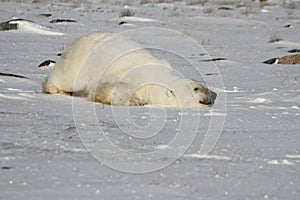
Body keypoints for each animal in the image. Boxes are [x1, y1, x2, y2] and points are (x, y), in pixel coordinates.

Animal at [42, 32, 216, 108]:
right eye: (196, 88)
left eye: (202, 84)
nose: (213, 94)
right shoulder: (134, 75)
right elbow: (109, 86)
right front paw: (137, 101)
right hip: (80, 61)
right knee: (67, 78)